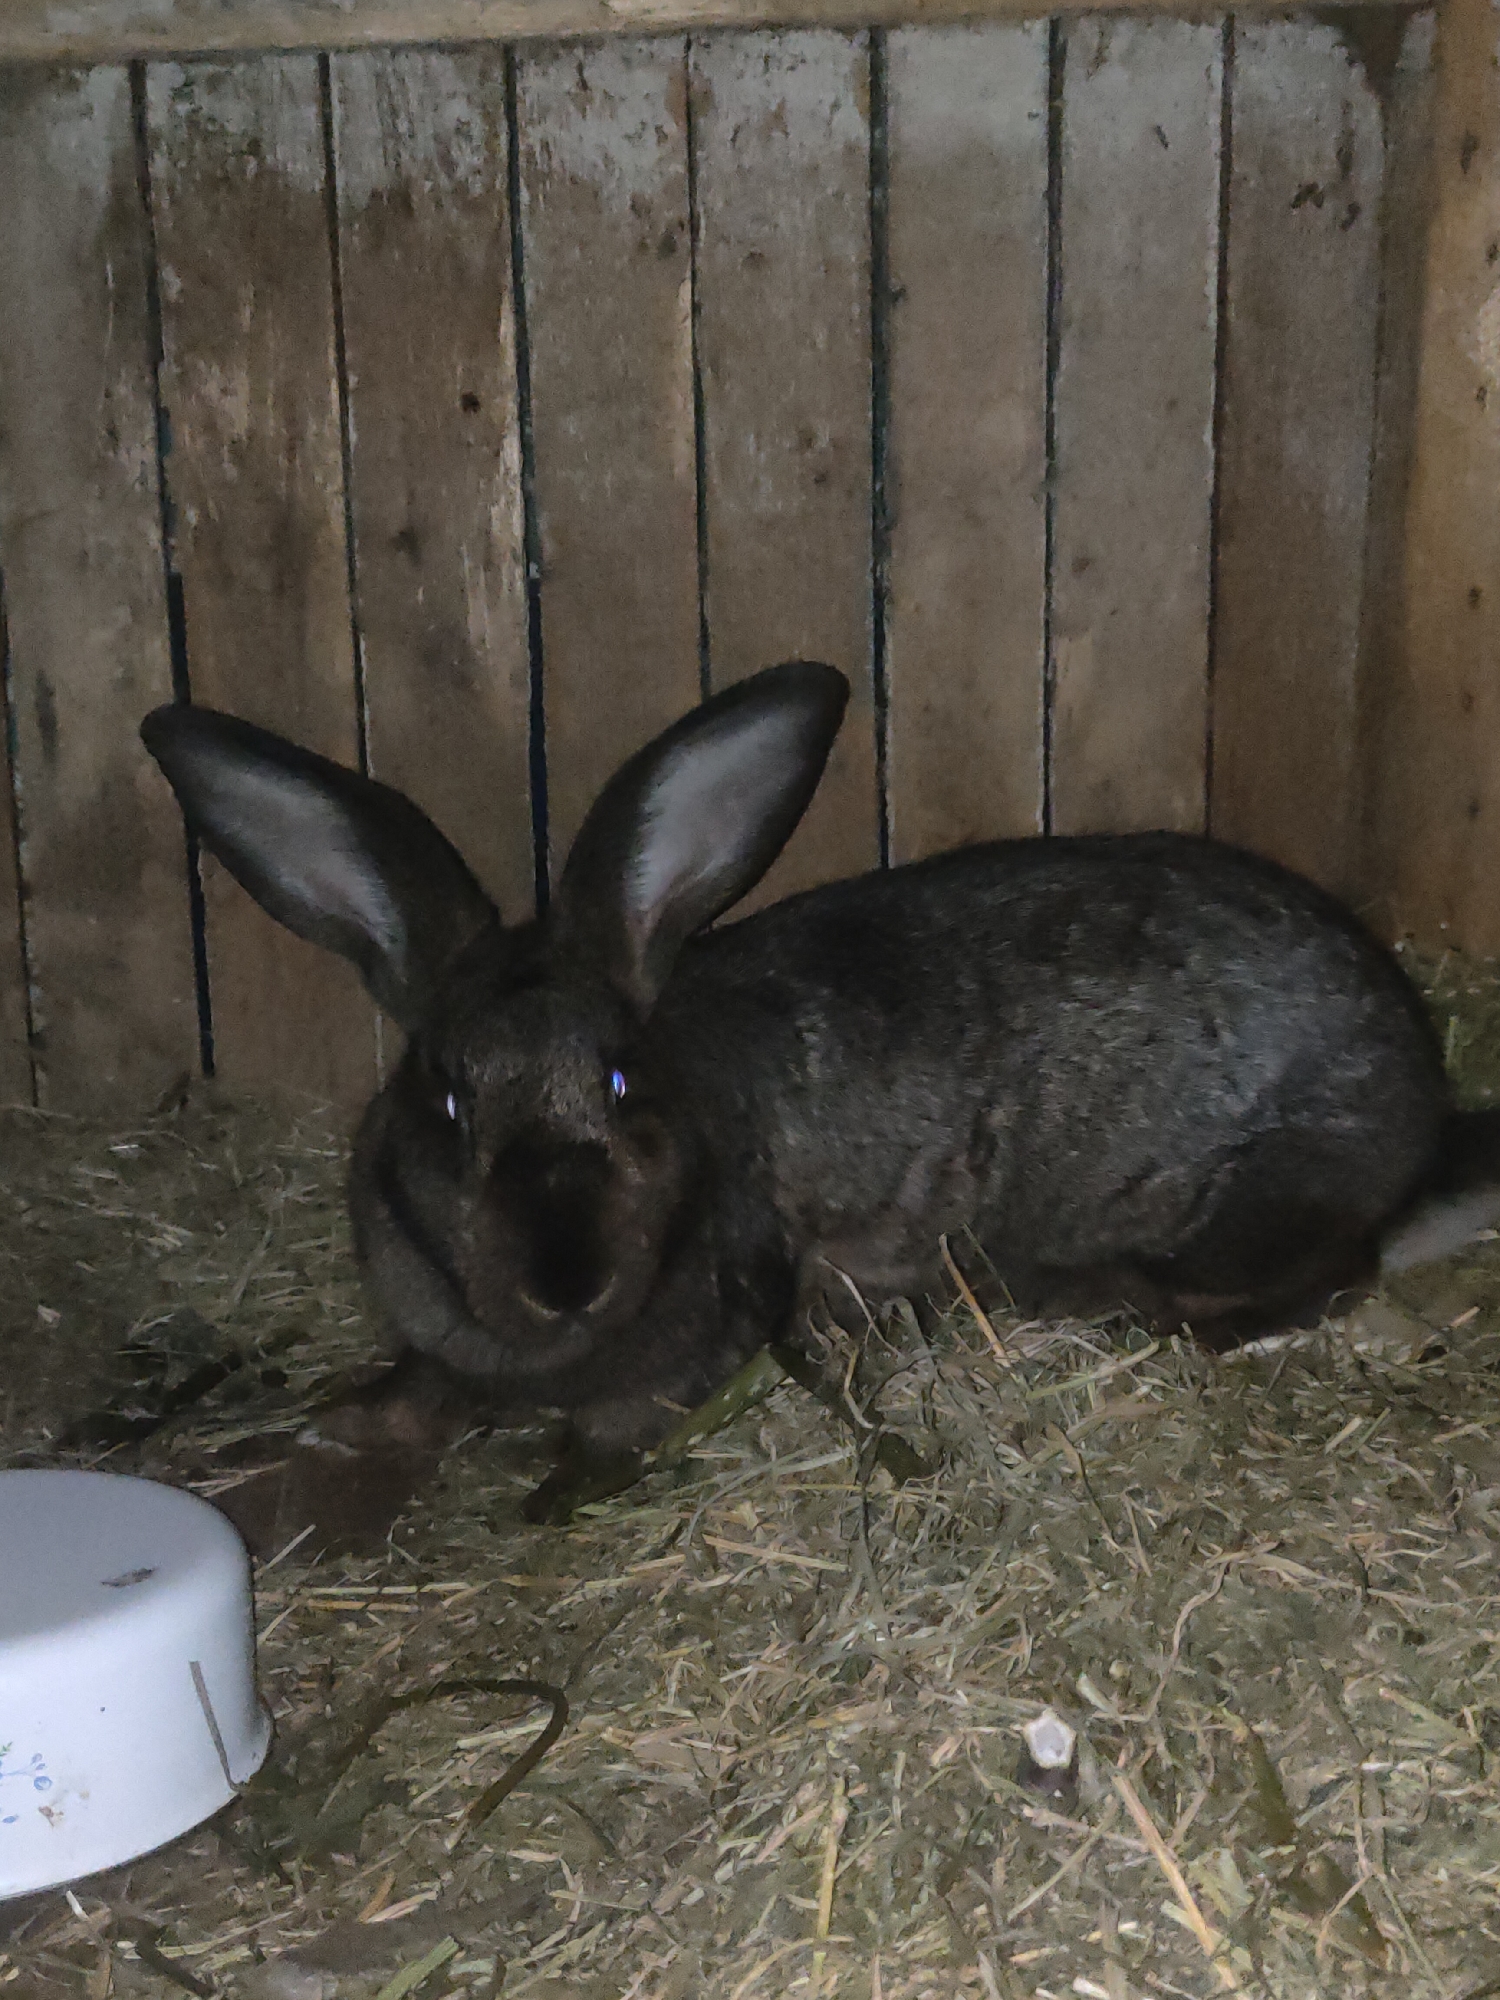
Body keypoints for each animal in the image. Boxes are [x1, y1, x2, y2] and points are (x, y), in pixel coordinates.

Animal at [141, 660, 1500, 1507]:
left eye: (623, 1081)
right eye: (446, 1098)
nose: (562, 1274)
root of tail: (1419, 1125)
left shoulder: (706, 1328)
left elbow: (624, 1419)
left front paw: (555, 1491)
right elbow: (414, 1390)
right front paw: (343, 1428)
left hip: (1246, 1205)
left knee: (1307, 1280)